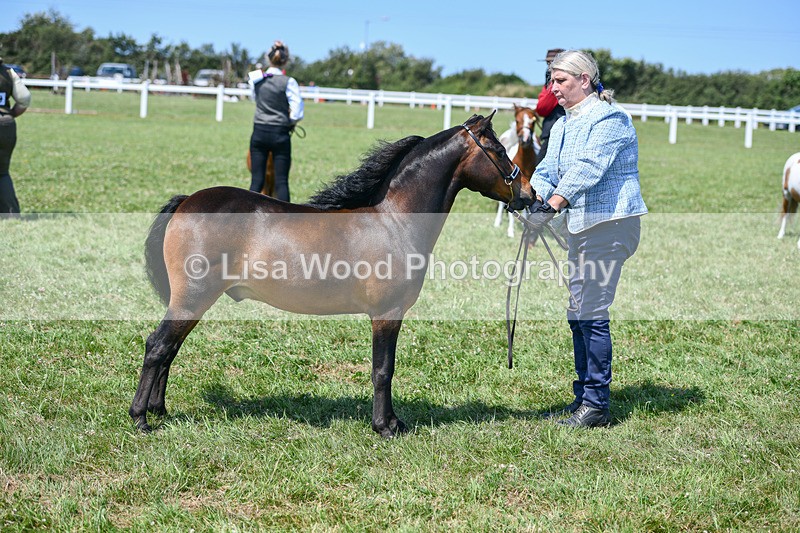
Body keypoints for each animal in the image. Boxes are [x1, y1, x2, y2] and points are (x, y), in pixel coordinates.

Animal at [130, 112, 535, 438]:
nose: (529, 195)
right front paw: (385, 427)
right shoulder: (386, 315)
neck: (394, 220)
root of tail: (187, 201)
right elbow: (383, 370)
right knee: (158, 346)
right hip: (192, 298)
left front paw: (394, 422)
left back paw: (159, 410)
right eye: (499, 150)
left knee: (170, 349)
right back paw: (140, 419)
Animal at [494, 104, 539, 237]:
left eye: (533, 121)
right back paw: (497, 222)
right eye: (518, 121)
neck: (524, 162)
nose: (525, 139)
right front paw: (510, 230)